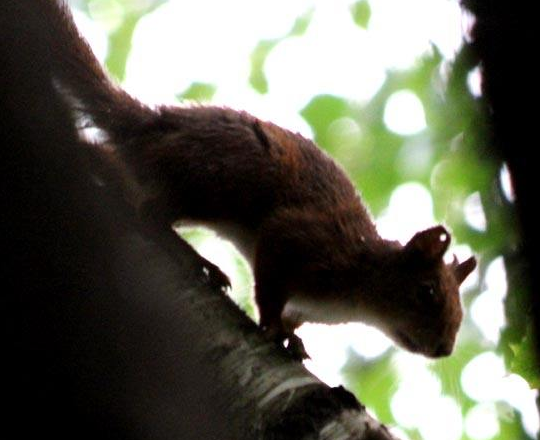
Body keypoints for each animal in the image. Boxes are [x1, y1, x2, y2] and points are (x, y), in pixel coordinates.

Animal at [40, 0, 474, 358]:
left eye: (460, 312)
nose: (444, 349)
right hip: (211, 181)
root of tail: (150, 126)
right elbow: (269, 280)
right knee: (149, 213)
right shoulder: (299, 241)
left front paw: (292, 336)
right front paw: (272, 327)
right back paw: (195, 258)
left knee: (110, 164)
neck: (359, 282)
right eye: (427, 291)